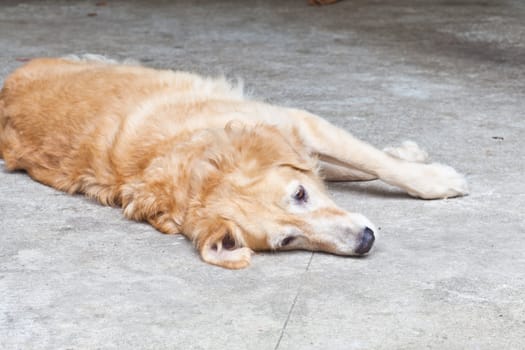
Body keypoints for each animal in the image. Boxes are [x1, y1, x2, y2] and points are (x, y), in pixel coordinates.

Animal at [0, 55, 466, 268]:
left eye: (300, 195)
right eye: (287, 242)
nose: (365, 241)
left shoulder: (299, 124)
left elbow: (373, 162)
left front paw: (428, 174)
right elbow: (358, 164)